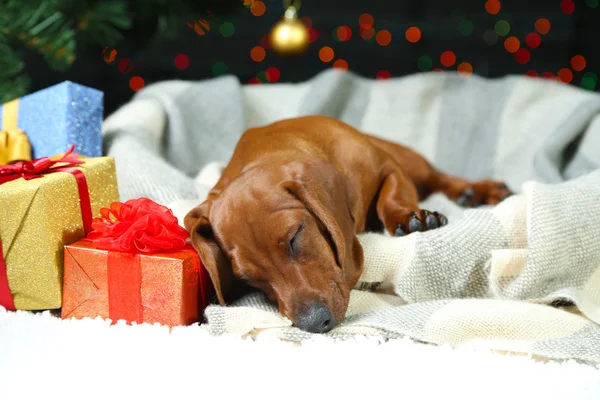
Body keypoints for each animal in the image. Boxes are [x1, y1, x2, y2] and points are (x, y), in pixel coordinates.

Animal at [184, 116, 510, 334]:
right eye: (249, 278)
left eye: (295, 237)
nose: (315, 324)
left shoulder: (389, 167)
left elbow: (392, 195)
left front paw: (408, 217)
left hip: (413, 163)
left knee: (441, 177)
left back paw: (476, 190)